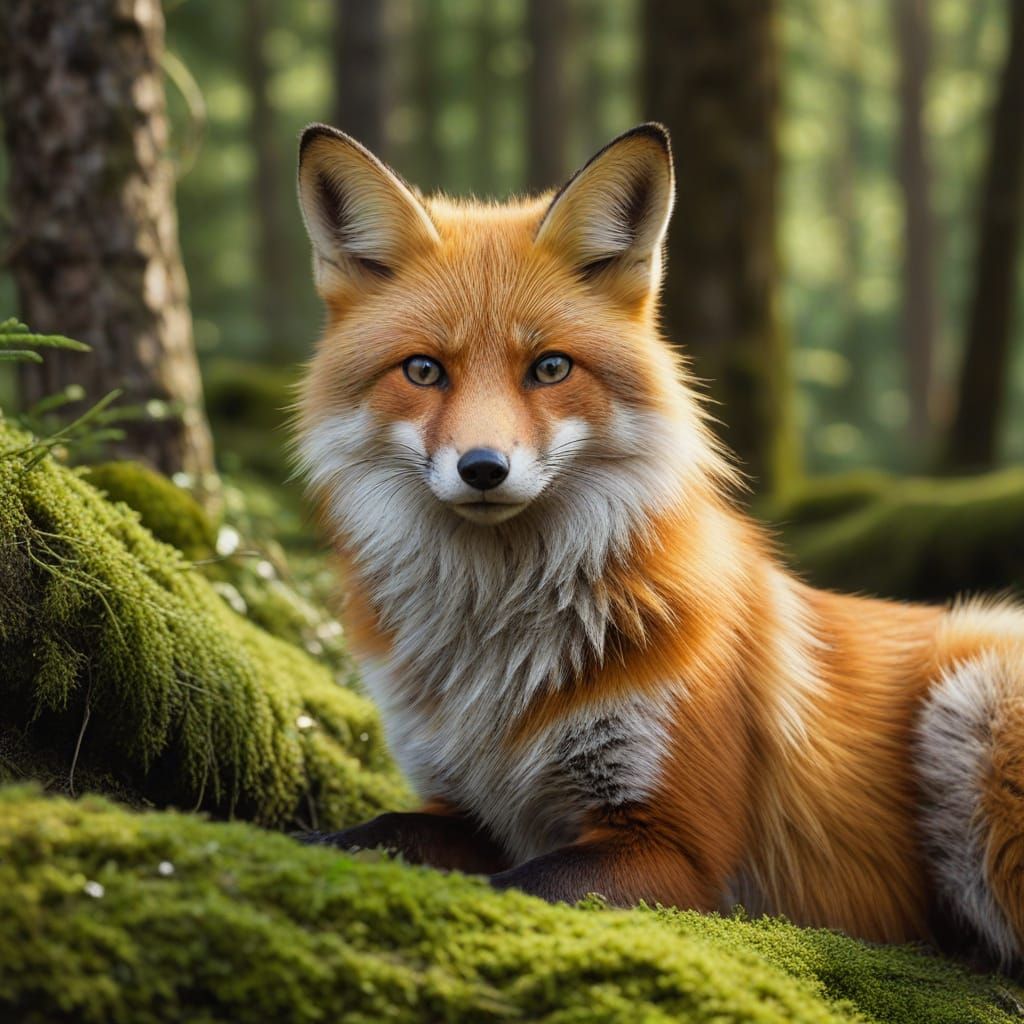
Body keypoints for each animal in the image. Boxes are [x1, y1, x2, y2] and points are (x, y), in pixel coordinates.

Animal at [294, 121, 1024, 969]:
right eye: (422, 371)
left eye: (549, 368)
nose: (483, 468)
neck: (495, 659)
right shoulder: (467, 807)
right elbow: (377, 832)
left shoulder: (678, 848)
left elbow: (514, 888)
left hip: (977, 697)